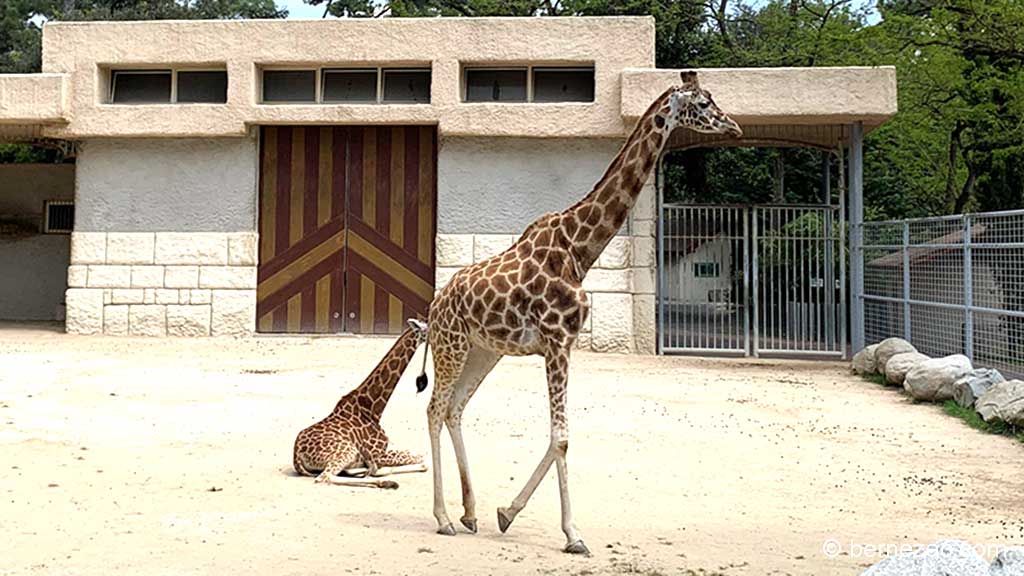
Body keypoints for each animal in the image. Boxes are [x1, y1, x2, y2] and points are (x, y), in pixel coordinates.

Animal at [292, 315, 428, 485]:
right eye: (430, 326)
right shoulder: (377, 454)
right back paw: (386, 482)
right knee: (325, 477)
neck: (372, 408)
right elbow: (420, 459)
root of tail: (296, 456)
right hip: (346, 450)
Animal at [419, 71, 741, 553]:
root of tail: (435, 304)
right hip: (451, 345)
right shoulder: (557, 343)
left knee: (456, 408)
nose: (735, 127)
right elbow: (562, 438)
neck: (580, 248)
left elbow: (560, 437)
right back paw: (442, 518)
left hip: (484, 351)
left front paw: (506, 513)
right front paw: (572, 534)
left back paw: (470, 512)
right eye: (703, 103)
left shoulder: (561, 345)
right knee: (435, 409)